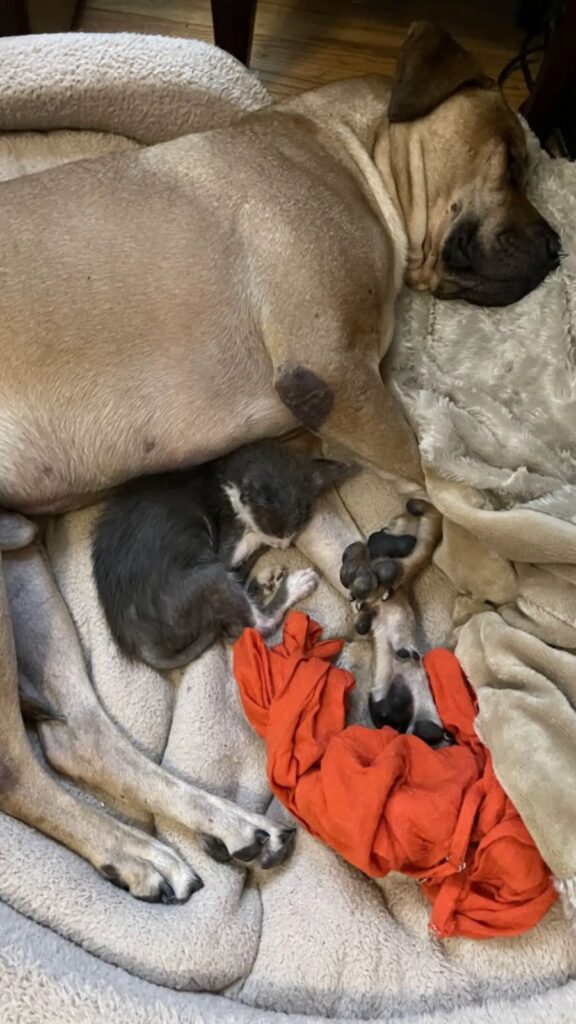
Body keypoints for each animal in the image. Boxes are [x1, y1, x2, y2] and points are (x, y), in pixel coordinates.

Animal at [0, 24, 557, 901]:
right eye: (510, 157)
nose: (558, 246)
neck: (350, 158)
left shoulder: (303, 449)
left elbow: (362, 546)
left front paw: (392, 630)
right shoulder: (336, 379)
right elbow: (433, 487)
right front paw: (467, 560)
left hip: (23, 574)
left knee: (75, 736)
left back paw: (207, 830)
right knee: (16, 771)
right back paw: (133, 846)